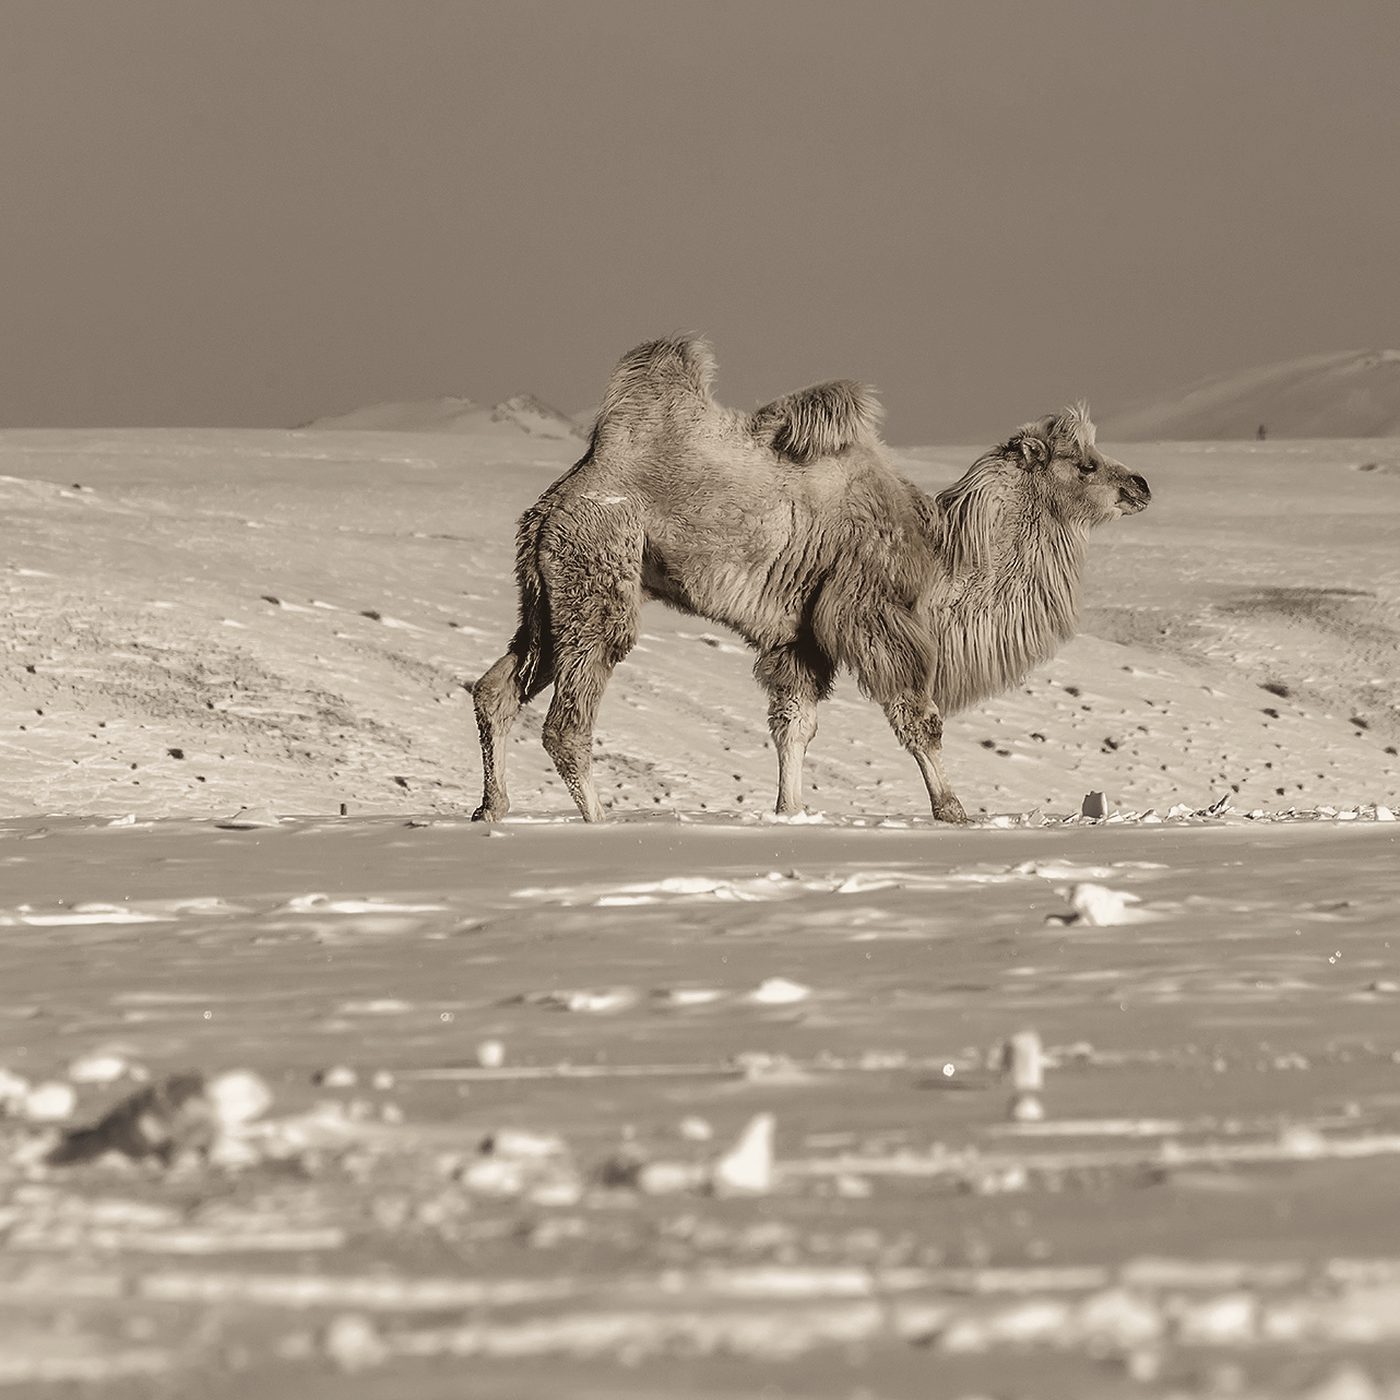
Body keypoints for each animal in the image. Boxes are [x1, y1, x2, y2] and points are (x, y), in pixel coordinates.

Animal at [471, 336, 1150, 823]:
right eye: (1086, 465)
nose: (1141, 485)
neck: (937, 554)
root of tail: (560, 498)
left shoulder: (799, 638)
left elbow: (794, 724)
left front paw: (791, 811)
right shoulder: (870, 613)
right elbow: (918, 716)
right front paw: (954, 810)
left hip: (546, 592)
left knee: (497, 688)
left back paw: (492, 809)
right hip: (598, 565)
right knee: (570, 717)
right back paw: (599, 821)